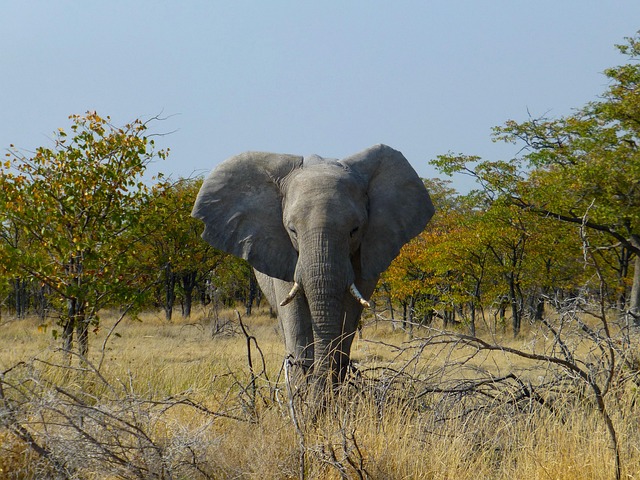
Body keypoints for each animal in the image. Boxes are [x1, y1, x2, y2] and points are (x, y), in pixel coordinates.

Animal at [192, 144, 434, 386]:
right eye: (292, 230)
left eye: (354, 230)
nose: (319, 383)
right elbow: (295, 314)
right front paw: (304, 388)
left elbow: (348, 315)